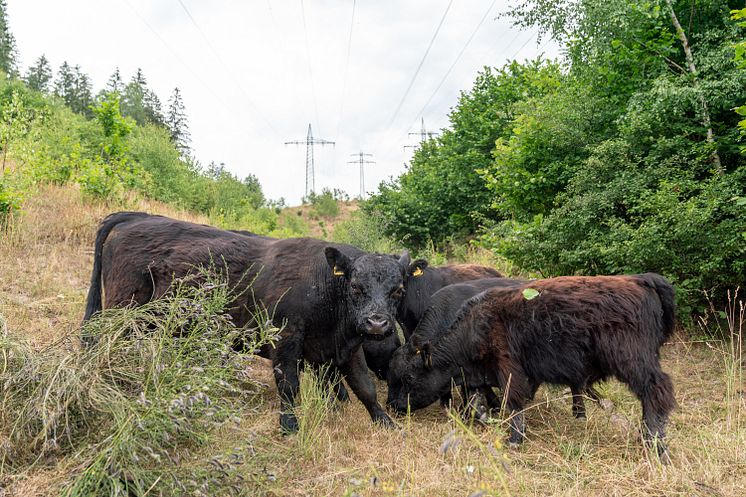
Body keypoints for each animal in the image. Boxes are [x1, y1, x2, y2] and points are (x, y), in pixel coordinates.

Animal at [84, 211, 416, 432]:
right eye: (356, 287)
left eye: (399, 290)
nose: (376, 324)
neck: (323, 284)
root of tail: (134, 218)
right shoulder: (286, 340)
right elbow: (289, 385)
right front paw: (289, 426)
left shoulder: (346, 348)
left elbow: (364, 387)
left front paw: (385, 423)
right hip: (122, 313)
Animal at [386, 276, 676, 458]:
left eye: (409, 378)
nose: (396, 406)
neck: (473, 327)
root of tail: (641, 281)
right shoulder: (478, 376)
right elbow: (478, 403)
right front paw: (487, 419)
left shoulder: (508, 369)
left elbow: (512, 402)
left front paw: (514, 439)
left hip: (634, 363)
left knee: (656, 392)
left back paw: (654, 442)